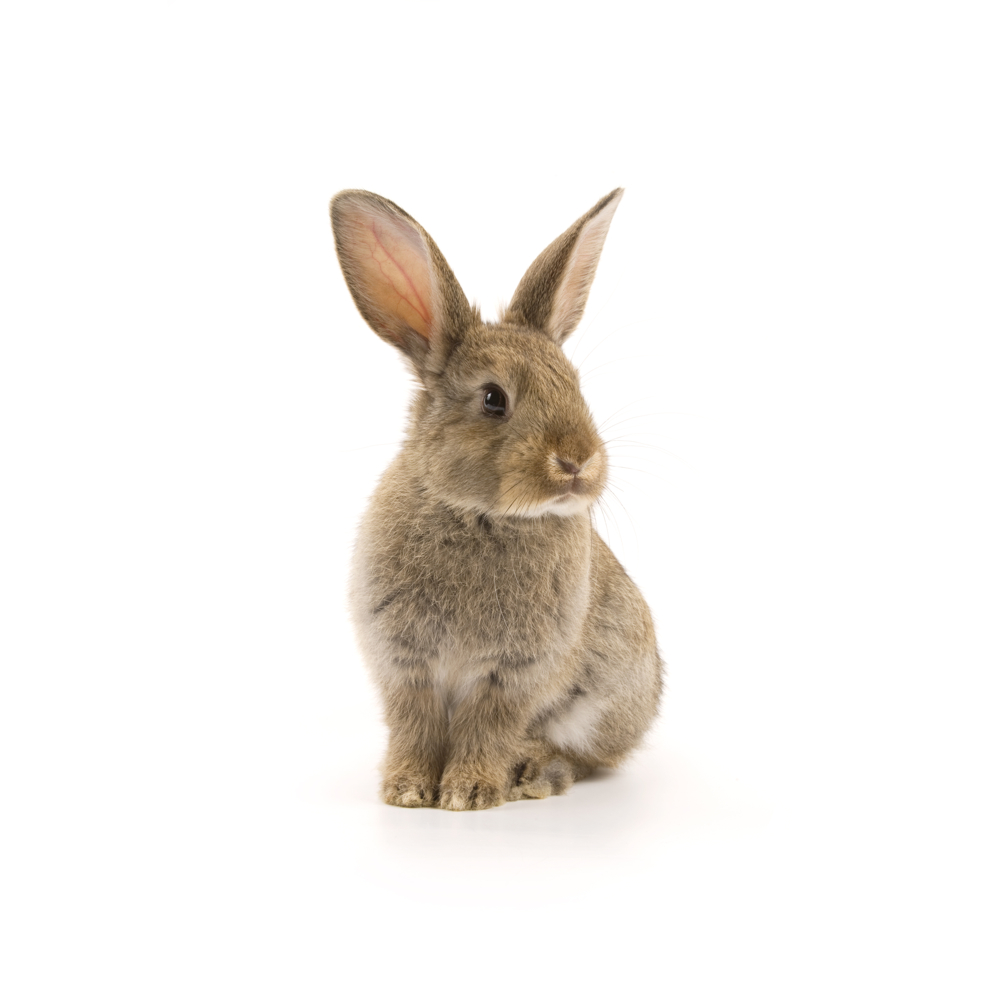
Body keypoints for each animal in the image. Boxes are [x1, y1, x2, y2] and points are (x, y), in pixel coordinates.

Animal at [329, 187, 663, 810]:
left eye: (575, 386)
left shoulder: (513, 673)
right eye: (492, 399)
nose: (577, 462)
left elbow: (488, 727)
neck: (481, 515)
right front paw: (407, 790)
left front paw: (468, 792)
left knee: (584, 756)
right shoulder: (405, 664)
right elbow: (414, 725)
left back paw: (534, 772)